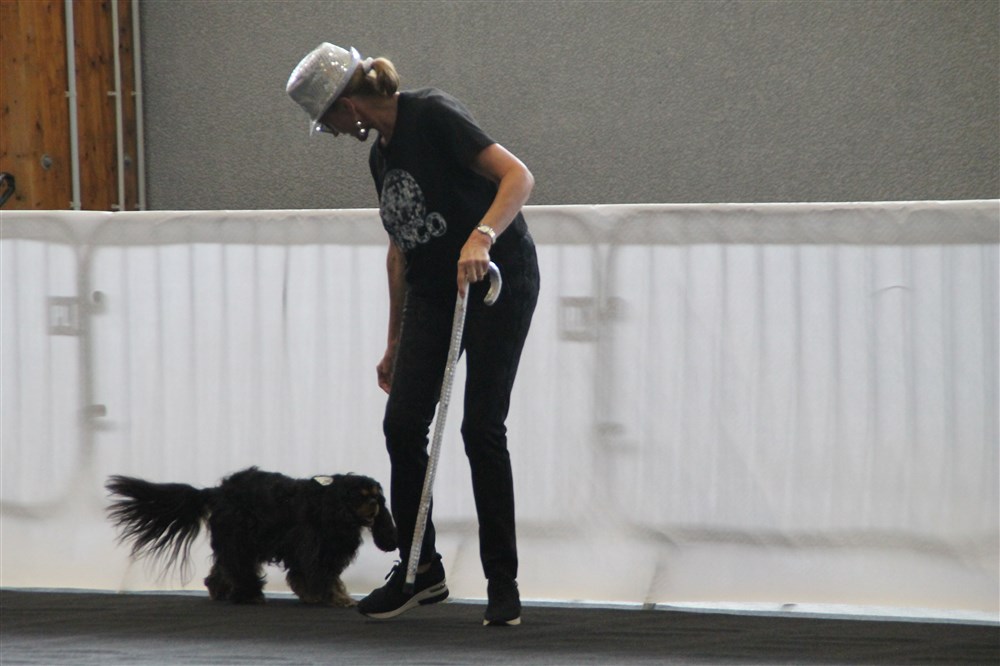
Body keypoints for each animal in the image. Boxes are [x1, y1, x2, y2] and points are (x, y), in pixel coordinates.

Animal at [106, 466, 397, 606]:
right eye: (360, 496)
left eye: (377, 496)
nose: (375, 504)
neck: (331, 503)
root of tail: (217, 491)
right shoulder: (314, 550)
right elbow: (321, 577)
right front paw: (337, 599)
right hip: (240, 539)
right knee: (237, 567)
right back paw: (249, 595)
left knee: (223, 568)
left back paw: (221, 591)